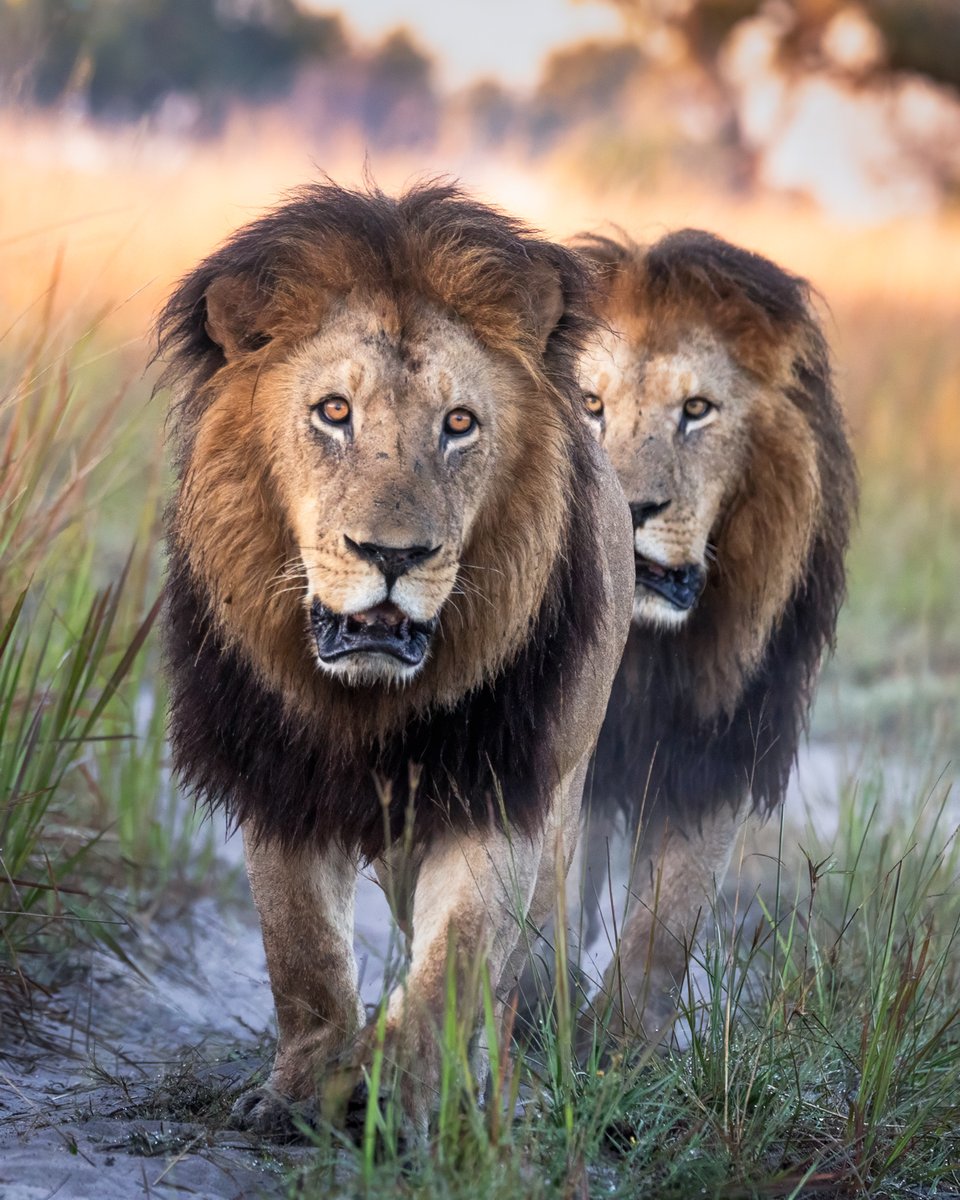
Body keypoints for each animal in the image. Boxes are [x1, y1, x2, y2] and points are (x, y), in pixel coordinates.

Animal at [155, 181, 634, 1135]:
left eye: (459, 425)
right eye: (334, 412)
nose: (393, 555)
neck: (367, 699)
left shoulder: (502, 786)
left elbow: (458, 960)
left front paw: (402, 1103)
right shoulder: (279, 781)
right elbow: (301, 954)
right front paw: (296, 1096)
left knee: (519, 958)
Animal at [572, 228, 857, 1041]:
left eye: (696, 410)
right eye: (591, 405)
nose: (629, 508)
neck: (646, 651)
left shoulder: (720, 743)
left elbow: (671, 911)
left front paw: (623, 1040)